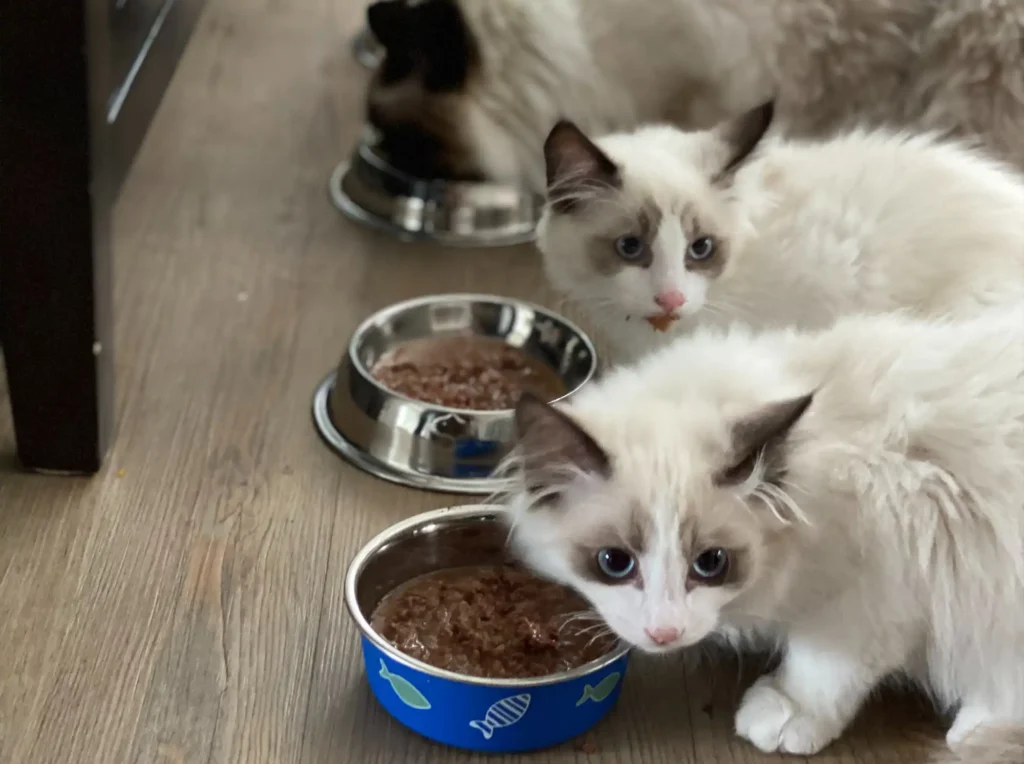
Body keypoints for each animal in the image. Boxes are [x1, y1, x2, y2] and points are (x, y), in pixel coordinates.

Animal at [499, 301, 1024, 757]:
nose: (665, 633)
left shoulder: (879, 592)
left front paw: (788, 713)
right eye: (614, 562)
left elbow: (825, 667)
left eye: (711, 563)